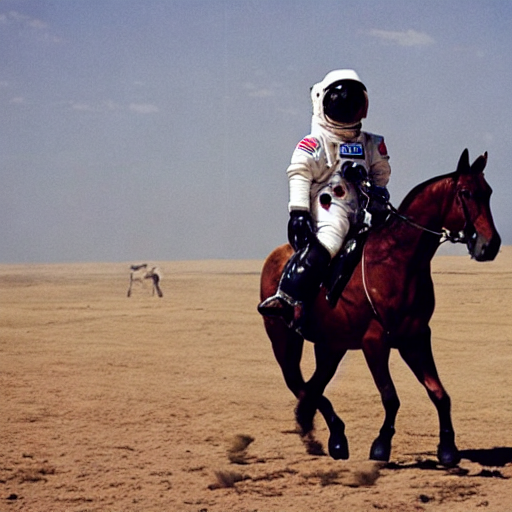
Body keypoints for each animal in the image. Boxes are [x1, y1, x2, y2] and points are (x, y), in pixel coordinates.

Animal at [260, 149, 500, 468]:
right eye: (465, 193)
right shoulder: (375, 342)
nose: (491, 245)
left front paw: (448, 447)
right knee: (298, 382)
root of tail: (276, 256)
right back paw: (331, 435)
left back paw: (324, 433)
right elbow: (391, 396)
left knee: (313, 385)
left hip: (331, 346)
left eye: (488, 192)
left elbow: (439, 393)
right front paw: (381, 445)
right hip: (284, 341)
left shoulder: (415, 338)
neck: (398, 261)